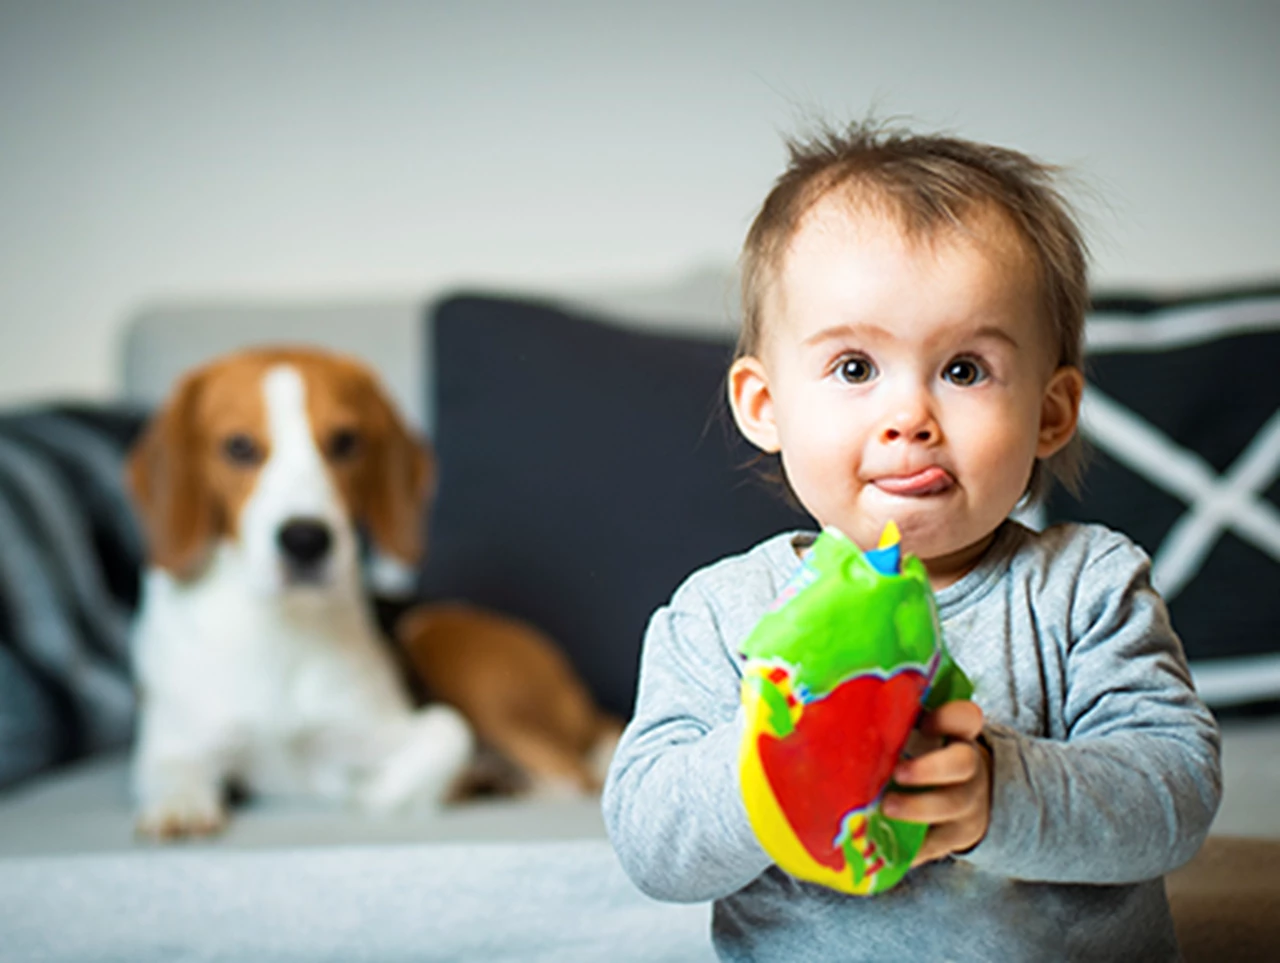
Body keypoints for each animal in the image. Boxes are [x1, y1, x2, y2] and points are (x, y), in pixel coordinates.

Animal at [126, 345, 476, 834]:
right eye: (238, 447)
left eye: (345, 441)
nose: (306, 540)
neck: (279, 627)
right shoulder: (174, 744)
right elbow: (171, 771)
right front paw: (181, 806)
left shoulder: (377, 731)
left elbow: (450, 732)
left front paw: (369, 795)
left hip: (435, 631)